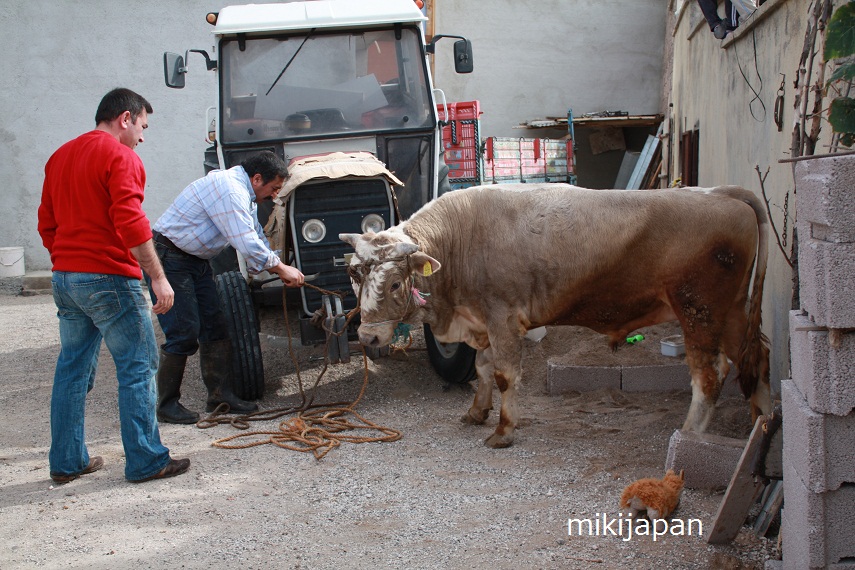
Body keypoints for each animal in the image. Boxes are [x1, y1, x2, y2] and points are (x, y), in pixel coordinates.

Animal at [342, 184, 776, 446]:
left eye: (394, 284)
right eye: (355, 276)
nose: (367, 338)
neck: (461, 238)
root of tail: (719, 192)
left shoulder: (503, 318)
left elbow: (504, 375)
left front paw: (504, 431)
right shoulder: (481, 322)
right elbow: (483, 369)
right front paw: (477, 412)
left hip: (698, 312)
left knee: (708, 378)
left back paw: (687, 438)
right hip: (732, 314)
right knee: (756, 361)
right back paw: (763, 423)